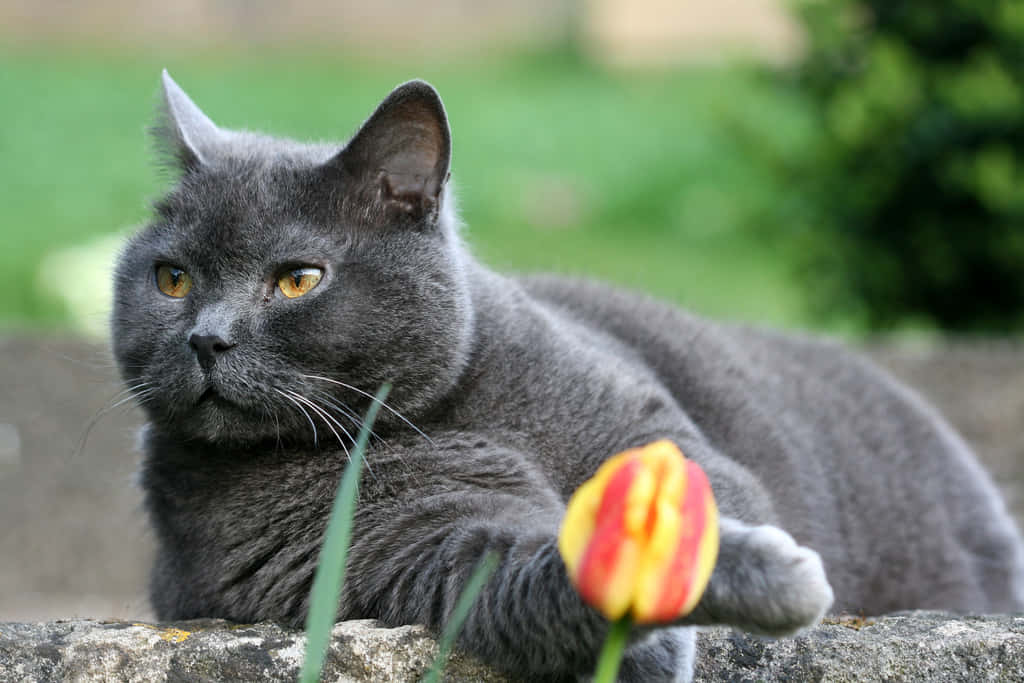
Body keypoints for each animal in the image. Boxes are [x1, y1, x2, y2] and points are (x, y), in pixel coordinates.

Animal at [112, 72, 1024, 679]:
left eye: (299, 279)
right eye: (173, 279)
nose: (206, 337)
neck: (451, 412)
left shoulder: (653, 429)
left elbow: (712, 497)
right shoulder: (407, 539)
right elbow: (521, 569)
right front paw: (692, 618)